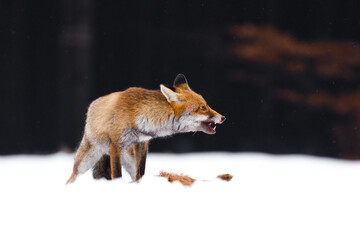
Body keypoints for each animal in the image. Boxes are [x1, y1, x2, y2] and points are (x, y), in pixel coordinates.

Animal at [66, 73, 225, 184]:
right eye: (203, 108)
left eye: (206, 105)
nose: (223, 117)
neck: (140, 115)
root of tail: (91, 106)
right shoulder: (116, 143)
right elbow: (116, 174)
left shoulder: (142, 142)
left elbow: (140, 173)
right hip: (86, 161)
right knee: (72, 177)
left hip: (128, 159)